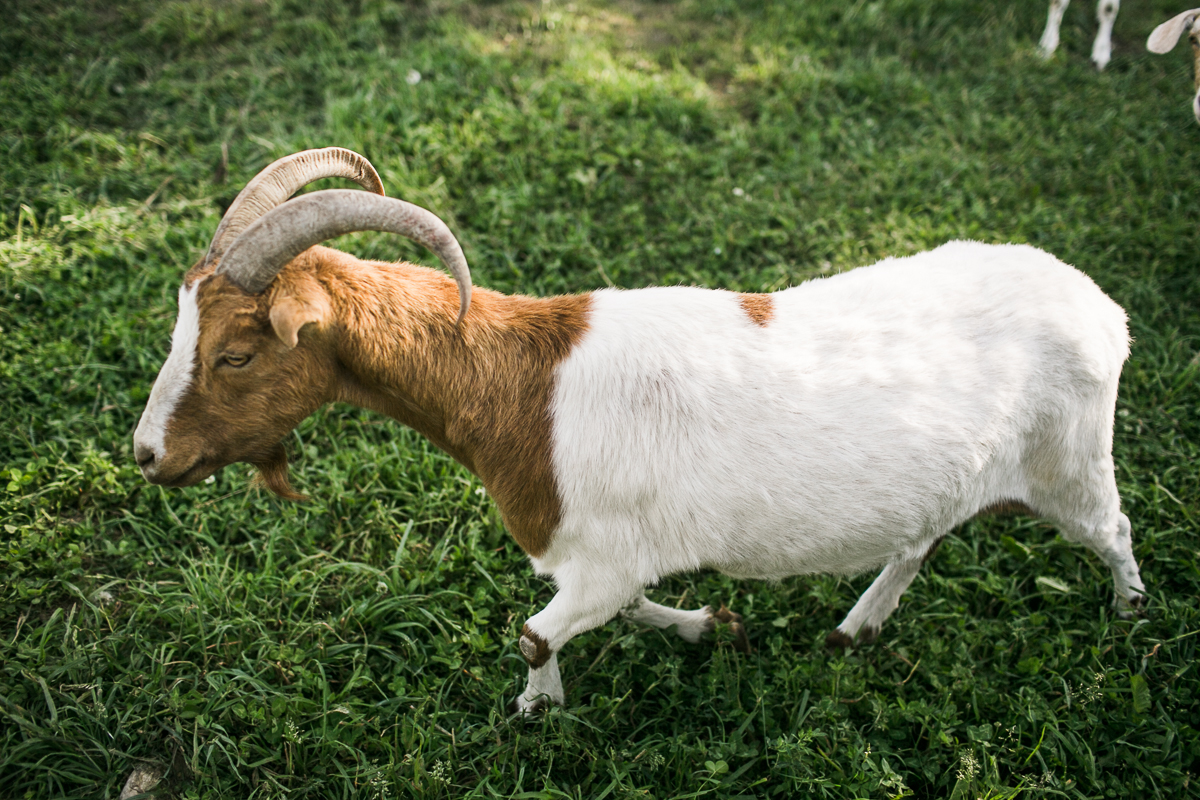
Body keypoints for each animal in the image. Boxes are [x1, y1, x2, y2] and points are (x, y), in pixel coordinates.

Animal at [131, 148, 1142, 714]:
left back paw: (1132, 618)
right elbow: (615, 609)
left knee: (1113, 530)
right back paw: (855, 630)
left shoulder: (603, 553)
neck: (520, 383)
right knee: (921, 537)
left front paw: (538, 714)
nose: (148, 455)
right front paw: (709, 626)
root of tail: (1097, 303)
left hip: (1069, 460)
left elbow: (537, 635)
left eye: (233, 354)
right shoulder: (601, 554)